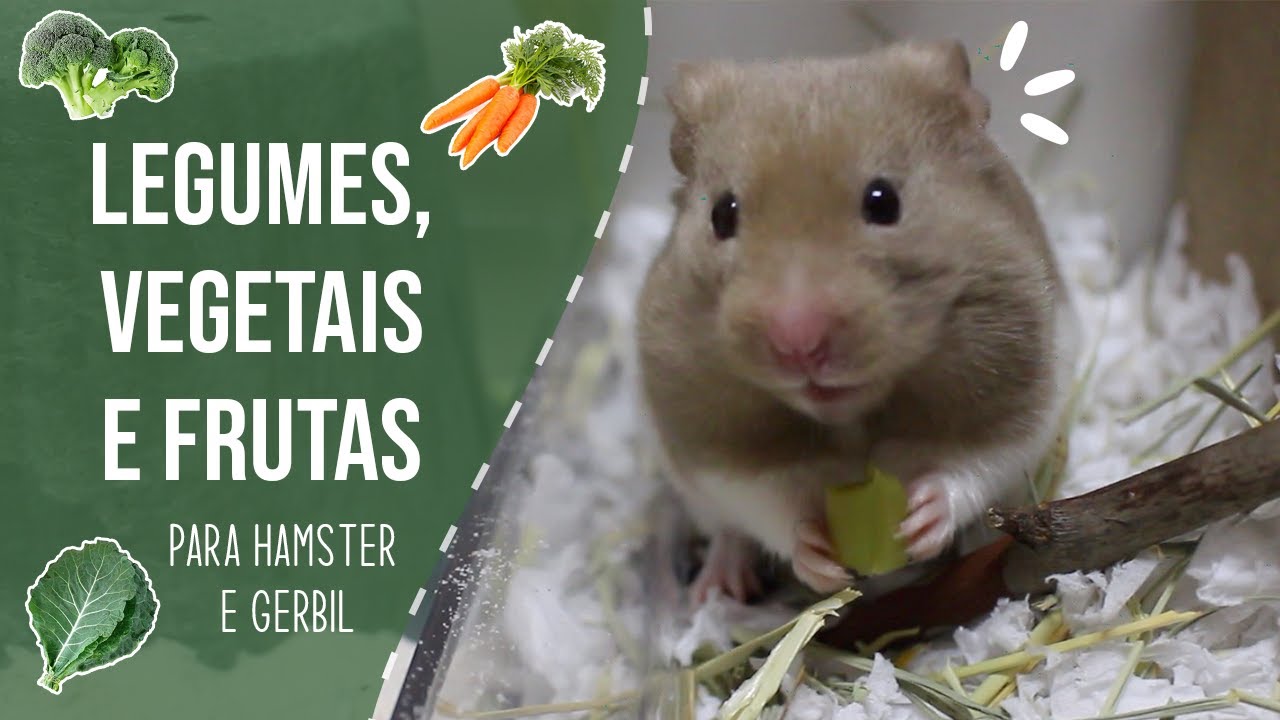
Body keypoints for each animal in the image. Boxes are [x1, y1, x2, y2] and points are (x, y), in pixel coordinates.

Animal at [635, 40, 1078, 605]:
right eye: (722, 214)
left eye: (883, 201)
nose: (798, 342)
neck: (848, 416)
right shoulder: (714, 447)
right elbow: (772, 502)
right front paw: (819, 559)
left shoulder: (1013, 397)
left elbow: (969, 464)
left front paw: (920, 522)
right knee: (729, 533)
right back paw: (718, 589)